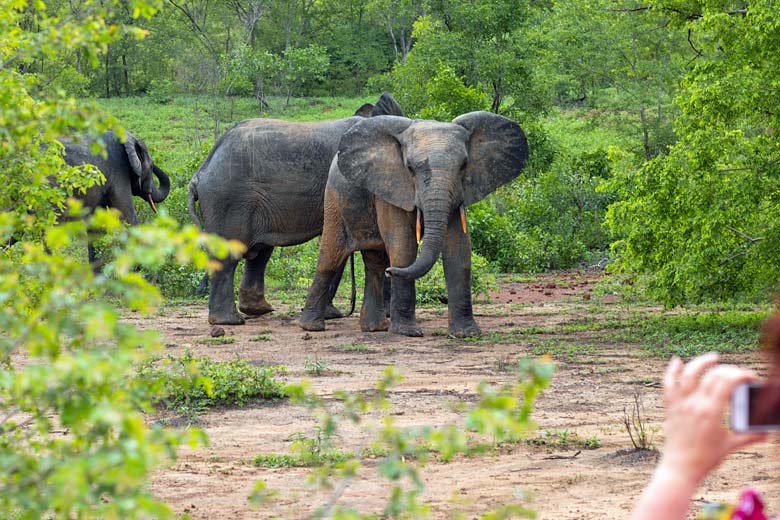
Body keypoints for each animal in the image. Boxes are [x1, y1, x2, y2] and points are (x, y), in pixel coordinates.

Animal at [188, 92, 404, 325]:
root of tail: (200, 173)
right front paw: (333, 315)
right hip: (229, 200)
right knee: (229, 255)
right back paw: (229, 321)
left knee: (260, 252)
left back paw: (256, 310)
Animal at [299, 111, 528, 337]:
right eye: (410, 168)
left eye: (463, 166)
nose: (392, 271)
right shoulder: (392, 186)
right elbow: (403, 246)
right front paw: (407, 332)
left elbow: (459, 250)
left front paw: (467, 334)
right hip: (334, 200)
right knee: (330, 256)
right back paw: (312, 327)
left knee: (375, 264)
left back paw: (375, 327)